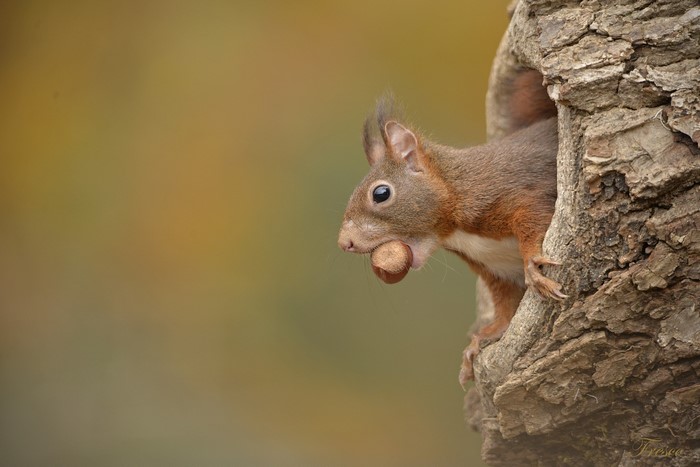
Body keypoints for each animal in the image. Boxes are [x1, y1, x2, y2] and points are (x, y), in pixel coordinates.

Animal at [338, 69, 563, 383]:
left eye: (381, 193)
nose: (344, 242)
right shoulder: (496, 269)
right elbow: (506, 305)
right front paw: (483, 339)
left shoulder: (518, 193)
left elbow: (535, 218)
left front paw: (533, 264)